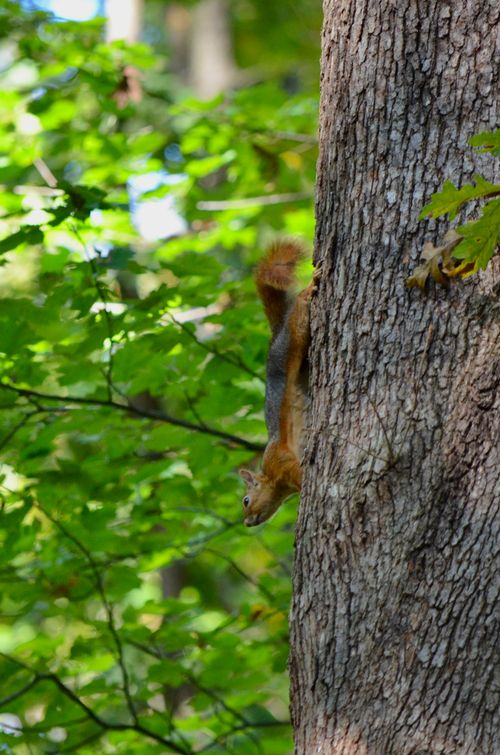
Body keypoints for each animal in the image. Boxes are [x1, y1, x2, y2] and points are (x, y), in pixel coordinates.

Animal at [240, 240, 316, 527]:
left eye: (245, 501)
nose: (247, 522)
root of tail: (277, 332)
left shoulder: (280, 461)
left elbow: (299, 473)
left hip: (294, 335)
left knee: (299, 307)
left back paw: (309, 289)